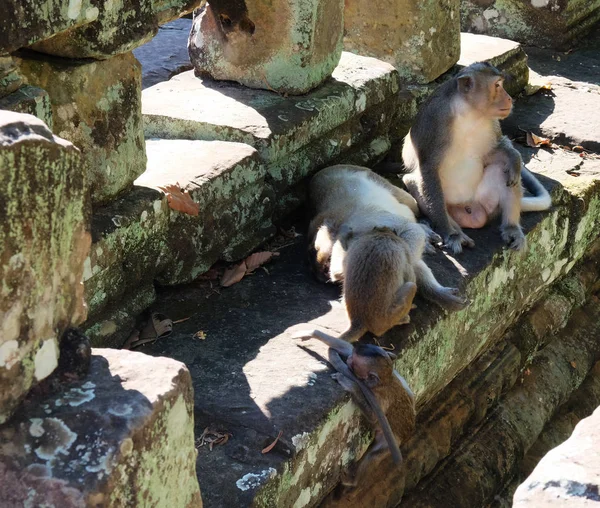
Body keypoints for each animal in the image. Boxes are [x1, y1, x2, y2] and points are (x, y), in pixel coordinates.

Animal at [292, 332, 414, 490]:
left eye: (353, 363)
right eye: (351, 358)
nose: (349, 359)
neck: (384, 380)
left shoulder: (380, 397)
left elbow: (374, 416)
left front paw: (351, 384)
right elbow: (347, 347)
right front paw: (310, 333)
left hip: (392, 439)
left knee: (374, 455)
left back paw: (352, 480)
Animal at [400, 62, 552, 256]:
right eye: (497, 85)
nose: (509, 99)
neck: (469, 113)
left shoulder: (492, 123)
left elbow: (493, 153)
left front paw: (514, 158)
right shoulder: (433, 121)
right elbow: (428, 169)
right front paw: (449, 233)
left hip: (486, 202)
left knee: (502, 169)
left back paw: (511, 227)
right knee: (412, 181)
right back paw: (456, 232)